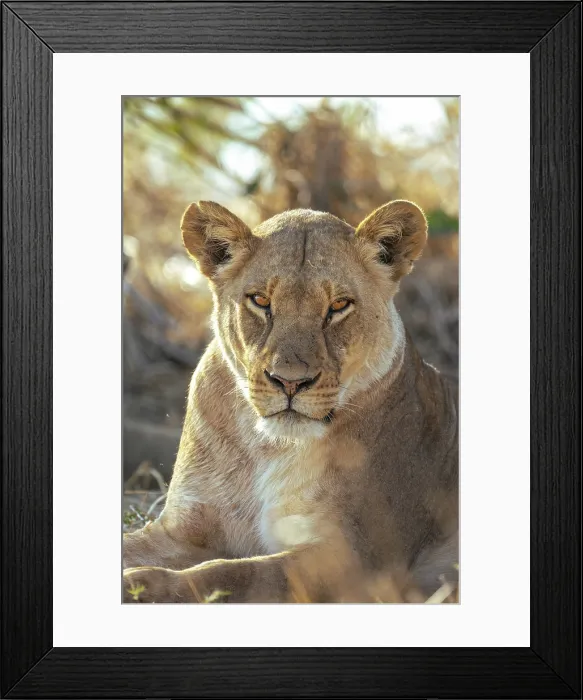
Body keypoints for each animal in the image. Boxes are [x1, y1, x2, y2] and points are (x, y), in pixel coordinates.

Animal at [123, 200, 458, 603]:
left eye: (339, 305)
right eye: (260, 301)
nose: (290, 381)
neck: (266, 447)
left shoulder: (358, 559)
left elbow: (232, 574)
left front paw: (140, 584)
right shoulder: (182, 527)